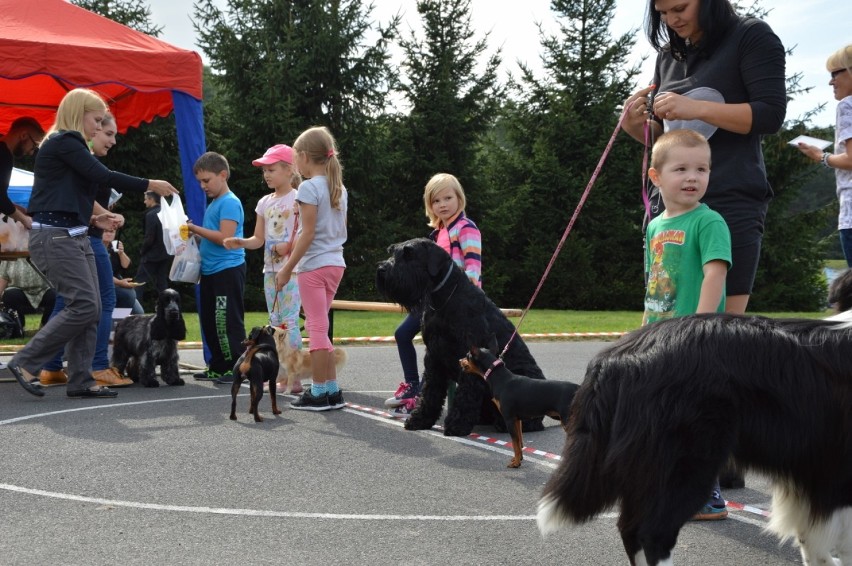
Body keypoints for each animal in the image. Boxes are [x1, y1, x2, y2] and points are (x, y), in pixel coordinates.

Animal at [460, 342, 580, 470]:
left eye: (467, 356)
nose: (459, 360)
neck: (500, 378)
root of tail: (578, 388)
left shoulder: (509, 419)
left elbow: (514, 443)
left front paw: (516, 463)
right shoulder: (517, 420)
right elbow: (519, 442)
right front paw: (519, 459)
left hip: (567, 421)